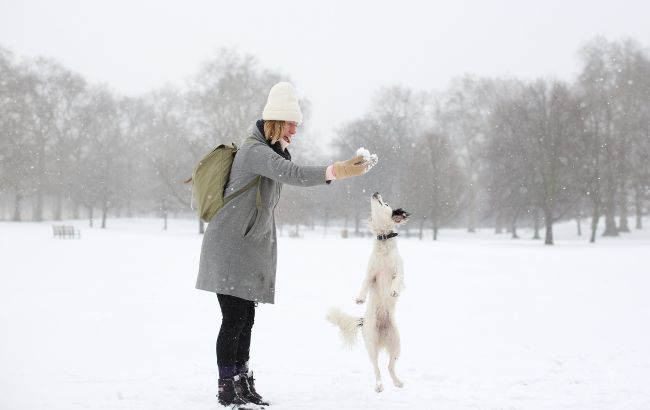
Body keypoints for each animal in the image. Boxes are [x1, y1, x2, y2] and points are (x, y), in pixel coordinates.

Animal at [324, 194, 410, 392]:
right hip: (372, 345)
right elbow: (364, 284)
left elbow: (397, 280)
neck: (384, 240)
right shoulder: (371, 275)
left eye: (386, 203)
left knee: (390, 366)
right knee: (377, 368)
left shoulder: (399, 271)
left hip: (396, 344)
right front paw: (360, 298)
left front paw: (394, 291)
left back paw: (397, 382)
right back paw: (379, 386)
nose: (376, 193)